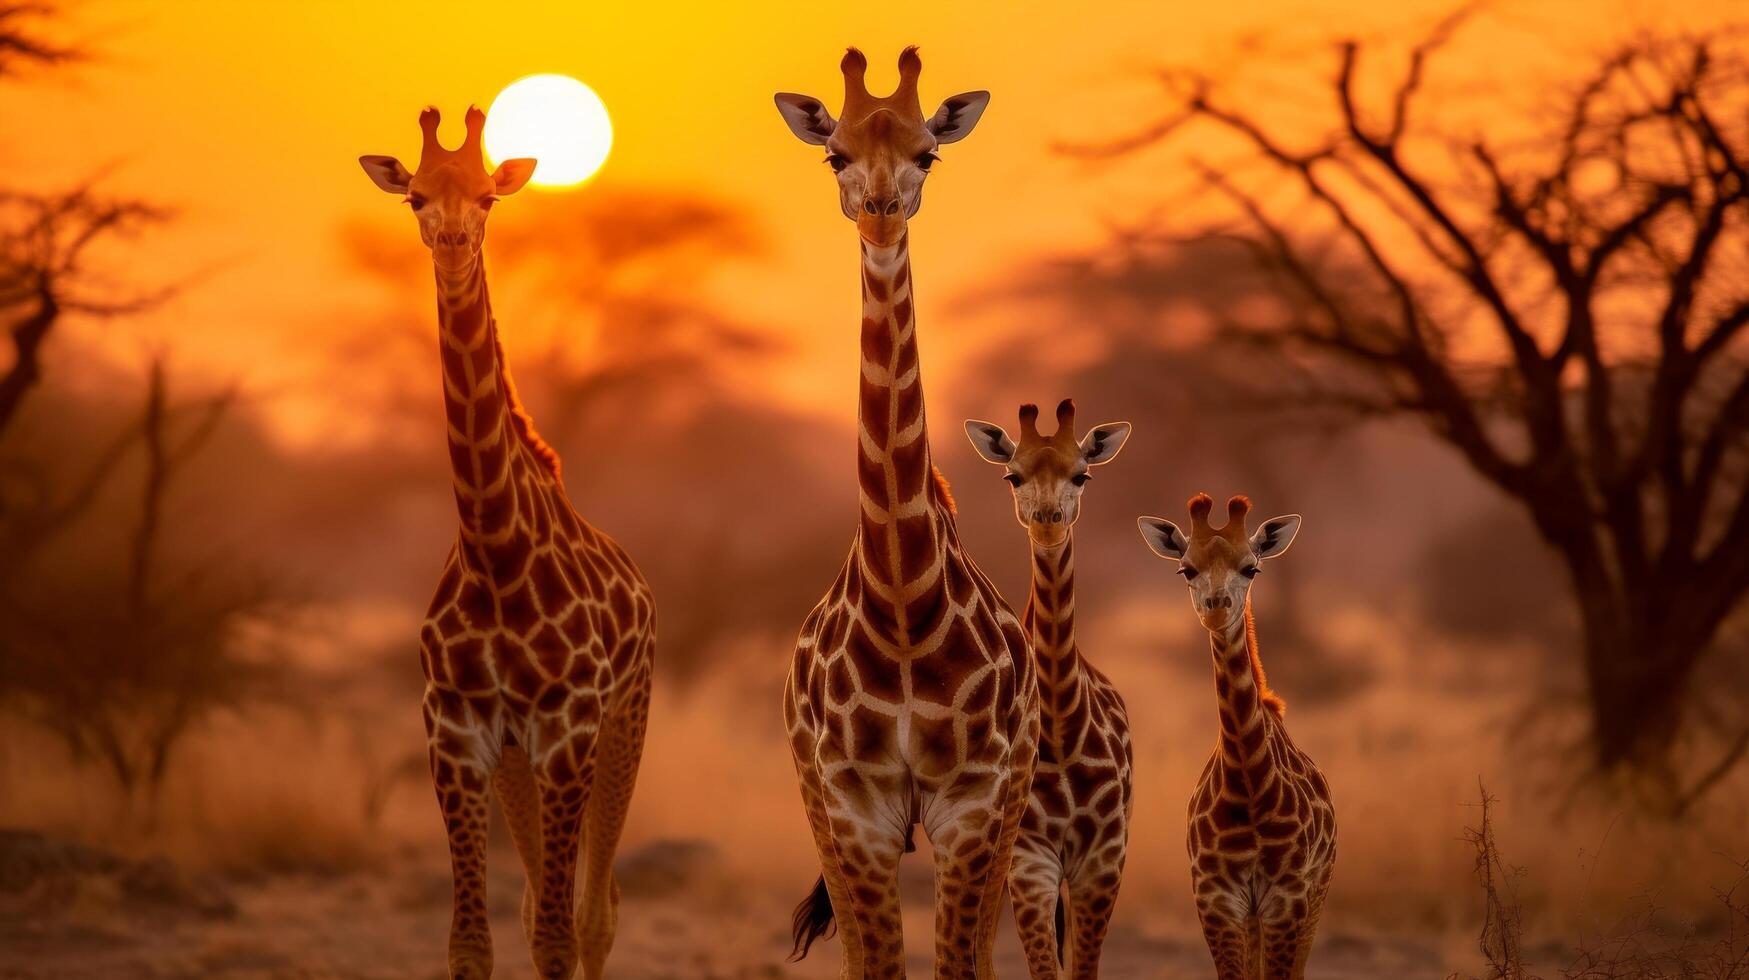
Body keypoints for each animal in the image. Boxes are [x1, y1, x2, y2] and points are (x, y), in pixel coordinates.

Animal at [356, 107, 657, 980]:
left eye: (488, 197)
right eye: (415, 197)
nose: (454, 243)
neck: (495, 553)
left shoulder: (568, 730)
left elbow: (559, 936)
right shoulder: (455, 731)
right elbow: (473, 942)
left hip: (622, 724)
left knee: (596, 909)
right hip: (518, 761)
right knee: (534, 904)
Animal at [769, 47, 1035, 980]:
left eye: (927, 154)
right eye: (834, 156)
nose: (879, 215)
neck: (901, 603)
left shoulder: (972, 806)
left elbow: (959, 965)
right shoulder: (853, 810)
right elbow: (876, 965)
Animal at [965, 400, 1140, 980]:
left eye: (1081, 474)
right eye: (1013, 476)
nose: (1047, 521)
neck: (1063, 725)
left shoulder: (1103, 861)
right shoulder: (1031, 860)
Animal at [1133, 497, 1336, 980]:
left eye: (1251, 568)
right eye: (1186, 569)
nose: (1216, 607)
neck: (1249, 783)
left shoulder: (1287, 898)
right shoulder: (1217, 900)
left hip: (1315, 896)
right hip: (1254, 916)